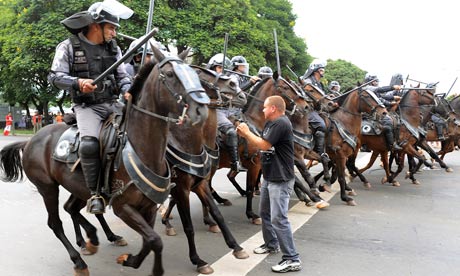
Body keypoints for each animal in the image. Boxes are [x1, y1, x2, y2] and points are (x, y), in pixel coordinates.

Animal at [0, 45, 210, 276]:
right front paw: (146, 265)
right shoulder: (123, 207)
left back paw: (93, 238)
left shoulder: (149, 206)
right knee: (55, 223)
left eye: (194, 74)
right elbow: (155, 240)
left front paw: (130, 260)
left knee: (71, 208)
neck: (142, 148)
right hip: (47, 188)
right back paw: (79, 260)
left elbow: (150, 241)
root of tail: (30, 141)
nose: (201, 109)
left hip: (77, 186)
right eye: (171, 74)